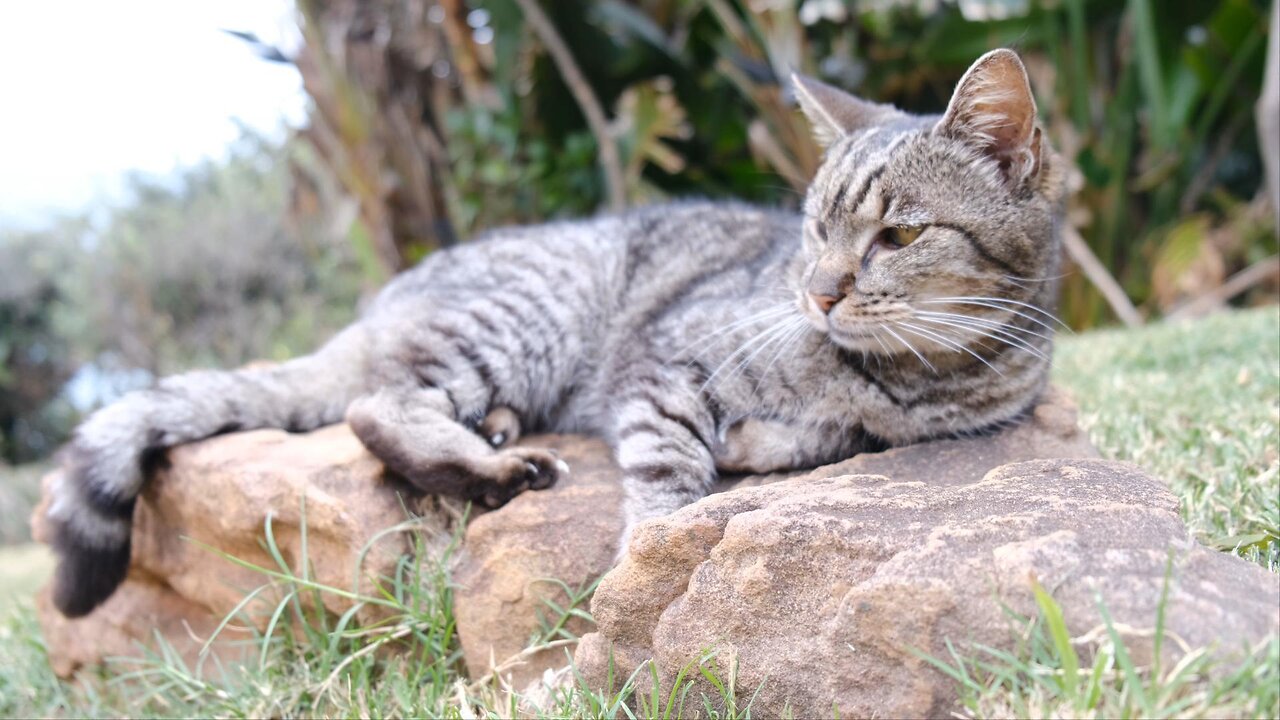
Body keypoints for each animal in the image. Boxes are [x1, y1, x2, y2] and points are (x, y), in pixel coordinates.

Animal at [47, 47, 1070, 614]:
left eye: (897, 236)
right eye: (816, 230)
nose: (816, 294)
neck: (914, 378)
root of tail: (376, 304)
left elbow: (821, 437)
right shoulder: (662, 363)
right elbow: (668, 482)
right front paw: (651, 557)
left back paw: (495, 437)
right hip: (526, 316)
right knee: (377, 404)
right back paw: (492, 468)